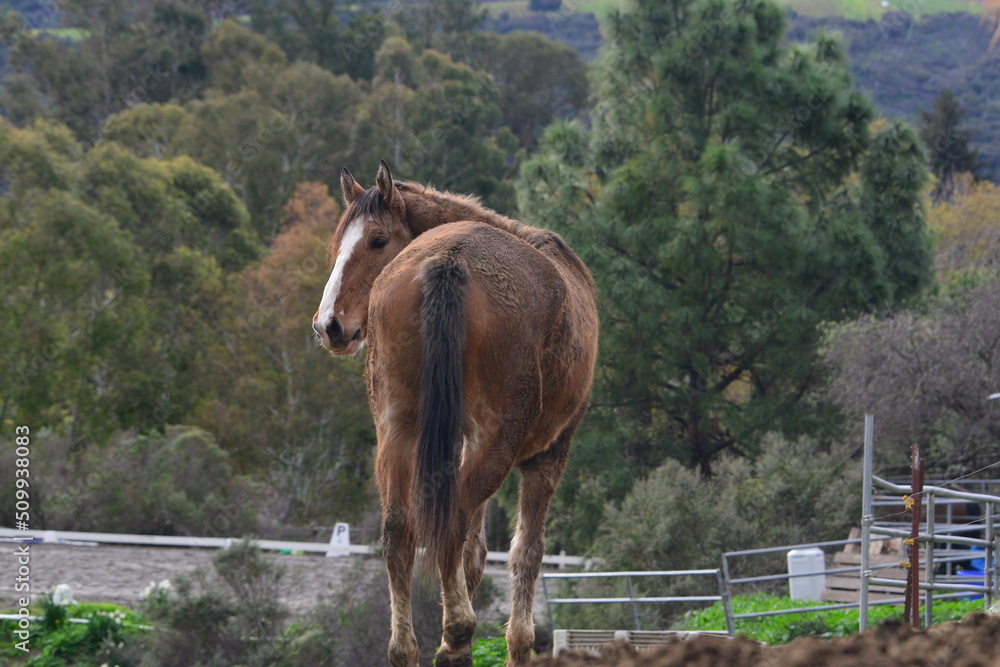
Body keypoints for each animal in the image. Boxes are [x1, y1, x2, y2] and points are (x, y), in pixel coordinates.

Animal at [312, 160, 598, 667]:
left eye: (377, 240)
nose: (329, 325)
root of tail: (450, 259)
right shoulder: (547, 457)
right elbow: (524, 555)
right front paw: (513, 641)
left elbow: (473, 554)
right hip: (495, 443)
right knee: (453, 522)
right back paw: (456, 633)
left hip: (398, 431)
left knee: (400, 531)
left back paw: (408, 645)